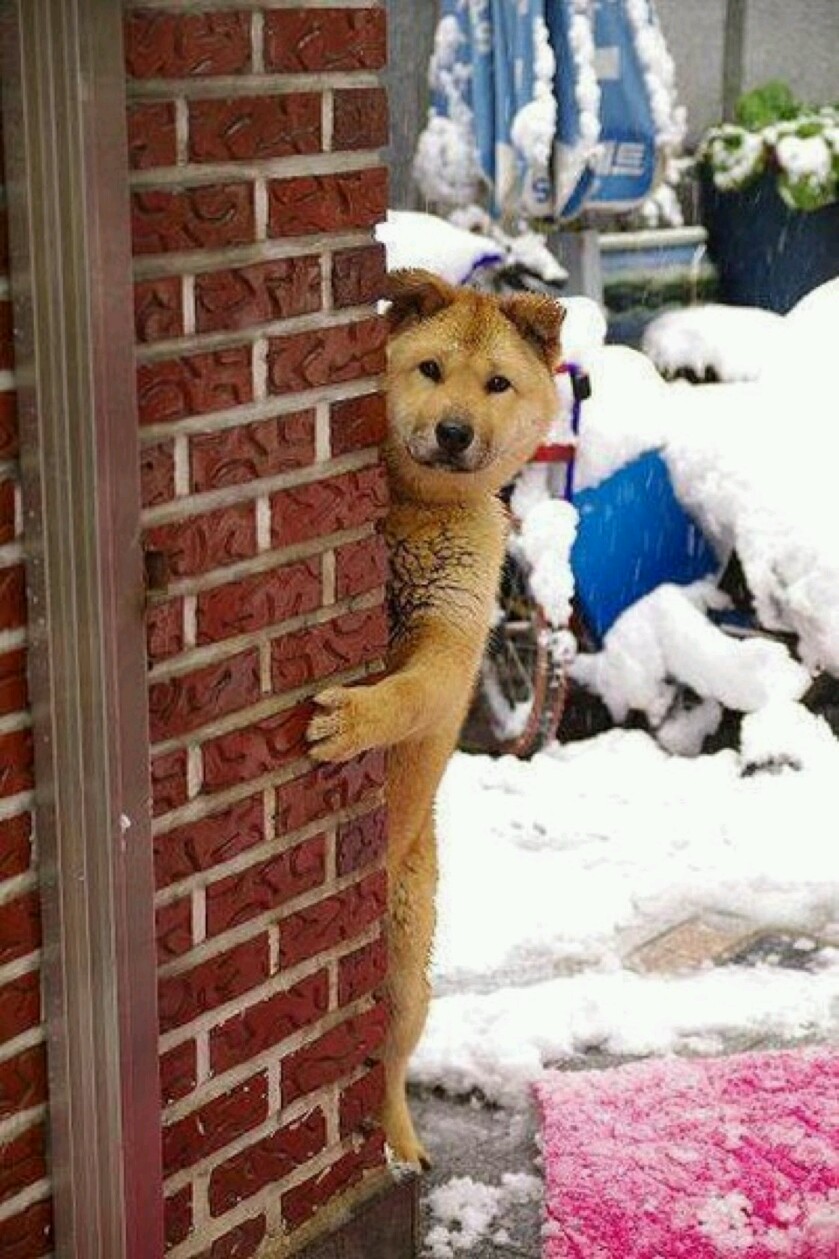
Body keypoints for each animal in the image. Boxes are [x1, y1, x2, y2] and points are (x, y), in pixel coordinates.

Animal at [307, 270, 561, 1163]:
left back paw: (402, 1150)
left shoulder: (451, 647)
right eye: (429, 369)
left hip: (405, 962)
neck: (415, 512)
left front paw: (352, 720)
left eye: (497, 384)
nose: (454, 432)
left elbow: (410, 693)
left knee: (385, 1066)